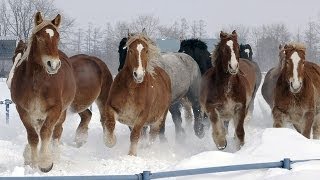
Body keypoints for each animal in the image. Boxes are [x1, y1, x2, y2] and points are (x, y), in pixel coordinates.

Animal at [10, 11, 76, 172]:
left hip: (62, 113)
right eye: (39, 38)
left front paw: (45, 162)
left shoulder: (55, 109)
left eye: (57, 37)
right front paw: (34, 163)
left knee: (56, 132)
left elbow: (46, 132)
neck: (37, 82)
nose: (53, 64)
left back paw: (55, 155)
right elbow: (33, 136)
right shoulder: (23, 110)